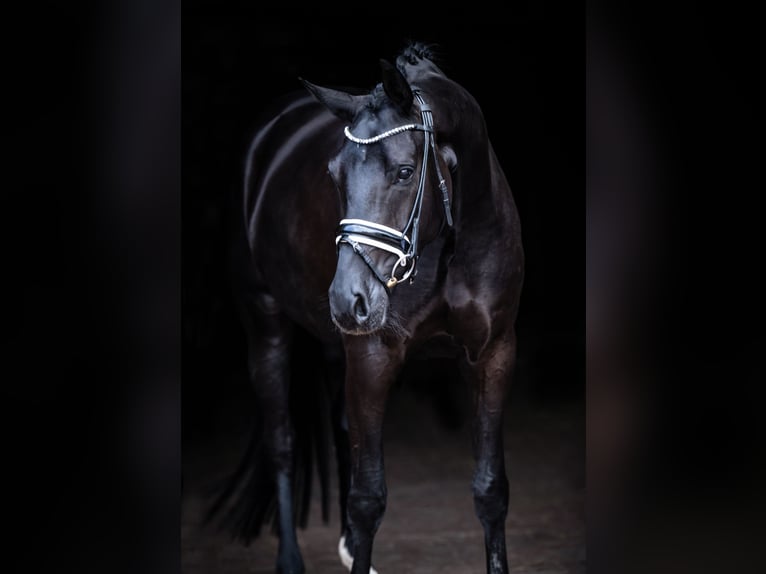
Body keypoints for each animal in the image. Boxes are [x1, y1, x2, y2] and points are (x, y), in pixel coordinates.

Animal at [208, 41, 524, 574]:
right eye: (333, 175)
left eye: (404, 172)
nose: (346, 299)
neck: (448, 247)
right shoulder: (374, 357)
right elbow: (368, 497)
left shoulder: (493, 354)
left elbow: (490, 490)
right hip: (266, 323)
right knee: (282, 440)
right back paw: (290, 559)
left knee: (338, 431)